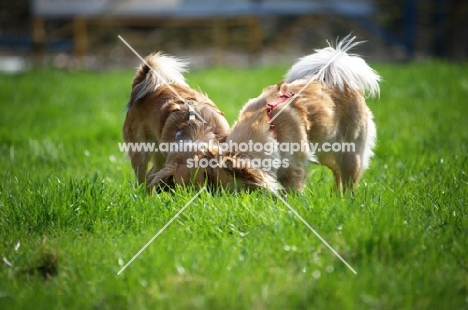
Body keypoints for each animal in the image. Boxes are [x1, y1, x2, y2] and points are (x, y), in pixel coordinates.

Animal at [121, 51, 229, 191]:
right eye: (181, 191)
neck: (197, 129)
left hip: (159, 156)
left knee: (150, 176)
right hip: (140, 153)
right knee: (143, 180)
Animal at [212, 37, 380, 194]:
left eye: (241, 191)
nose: (224, 197)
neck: (270, 126)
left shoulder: (294, 168)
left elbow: (292, 188)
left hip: (349, 154)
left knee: (349, 181)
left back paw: (346, 198)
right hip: (324, 151)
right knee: (336, 172)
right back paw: (337, 196)